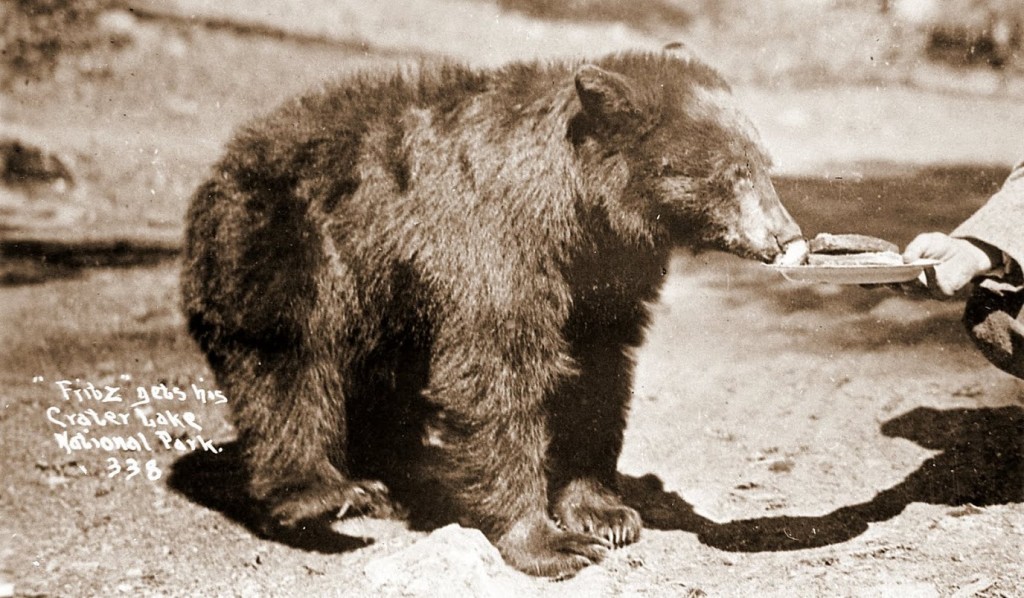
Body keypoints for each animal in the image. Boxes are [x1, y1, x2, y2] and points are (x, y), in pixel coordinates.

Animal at [182, 44, 806, 577]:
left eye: (765, 164)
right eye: (733, 173)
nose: (787, 236)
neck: (581, 214)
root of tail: (222, 164)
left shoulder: (601, 280)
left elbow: (599, 375)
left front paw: (604, 512)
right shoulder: (496, 246)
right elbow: (497, 372)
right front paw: (549, 542)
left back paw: (392, 475)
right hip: (285, 245)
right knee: (287, 366)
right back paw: (327, 492)